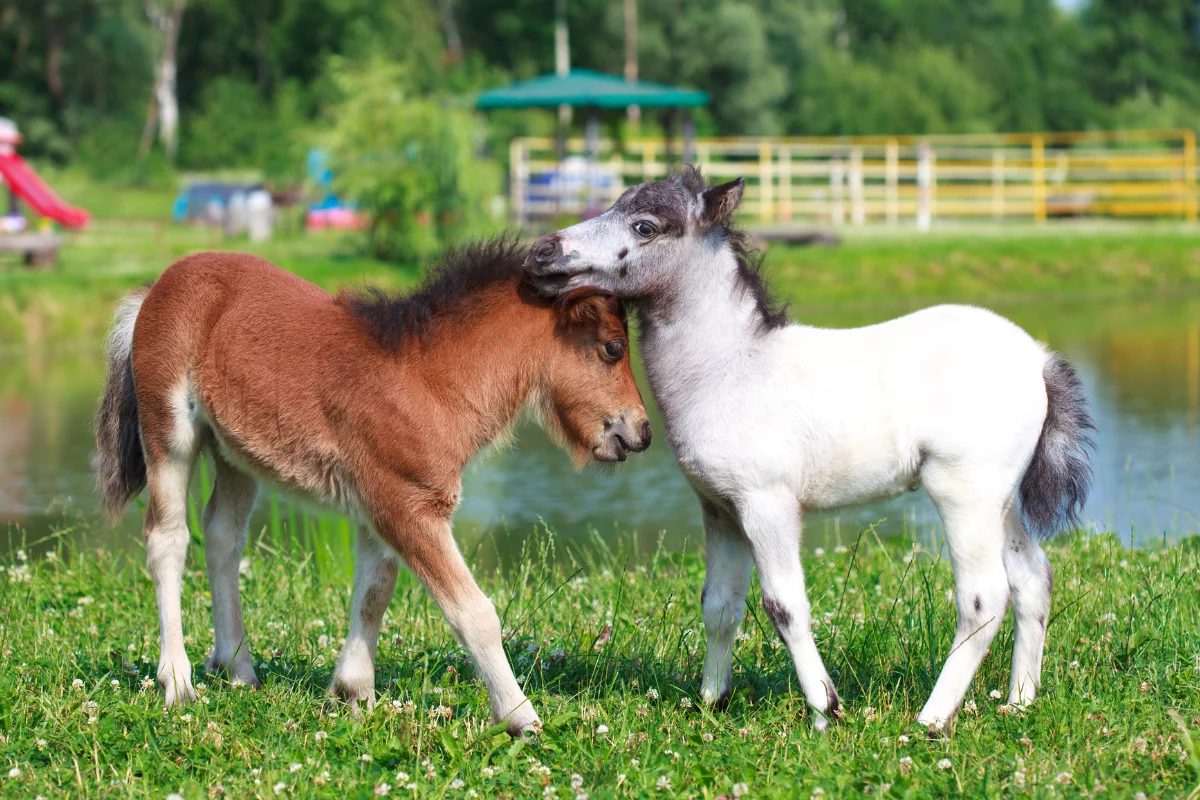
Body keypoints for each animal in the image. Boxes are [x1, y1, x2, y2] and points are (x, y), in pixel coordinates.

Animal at [93, 238, 651, 736]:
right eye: (612, 349)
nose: (641, 432)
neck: (429, 380)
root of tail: (155, 287)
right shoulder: (409, 507)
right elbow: (473, 612)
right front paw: (520, 718)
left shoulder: (381, 501)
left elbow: (373, 592)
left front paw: (353, 691)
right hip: (169, 432)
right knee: (168, 538)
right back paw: (178, 680)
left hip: (235, 455)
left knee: (222, 536)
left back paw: (239, 668)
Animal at [525, 168, 1093, 732]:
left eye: (645, 226)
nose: (541, 253)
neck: (733, 368)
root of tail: (1037, 357)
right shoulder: (720, 509)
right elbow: (719, 605)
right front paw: (711, 703)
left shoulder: (766, 505)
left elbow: (784, 606)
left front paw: (825, 709)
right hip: (999, 499)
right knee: (1032, 579)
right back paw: (1019, 701)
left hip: (964, 493)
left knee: (984, 598)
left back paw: (931, 720)